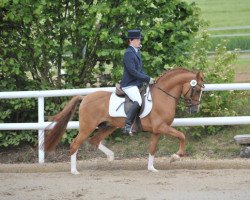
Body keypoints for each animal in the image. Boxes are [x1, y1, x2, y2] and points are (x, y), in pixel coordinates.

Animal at [44, 68, 205, 173]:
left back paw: (110, 157)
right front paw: (175, 157)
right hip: (87, 127)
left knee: (95, 140)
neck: (163, 96)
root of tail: (84, 98)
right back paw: (74, 171)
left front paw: (151, 168)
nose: (194, 110)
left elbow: (152, 148)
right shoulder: (161, 127)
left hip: (108, 126)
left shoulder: (156, 130)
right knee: (75, 144)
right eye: (197, 90)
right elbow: (181, 136)